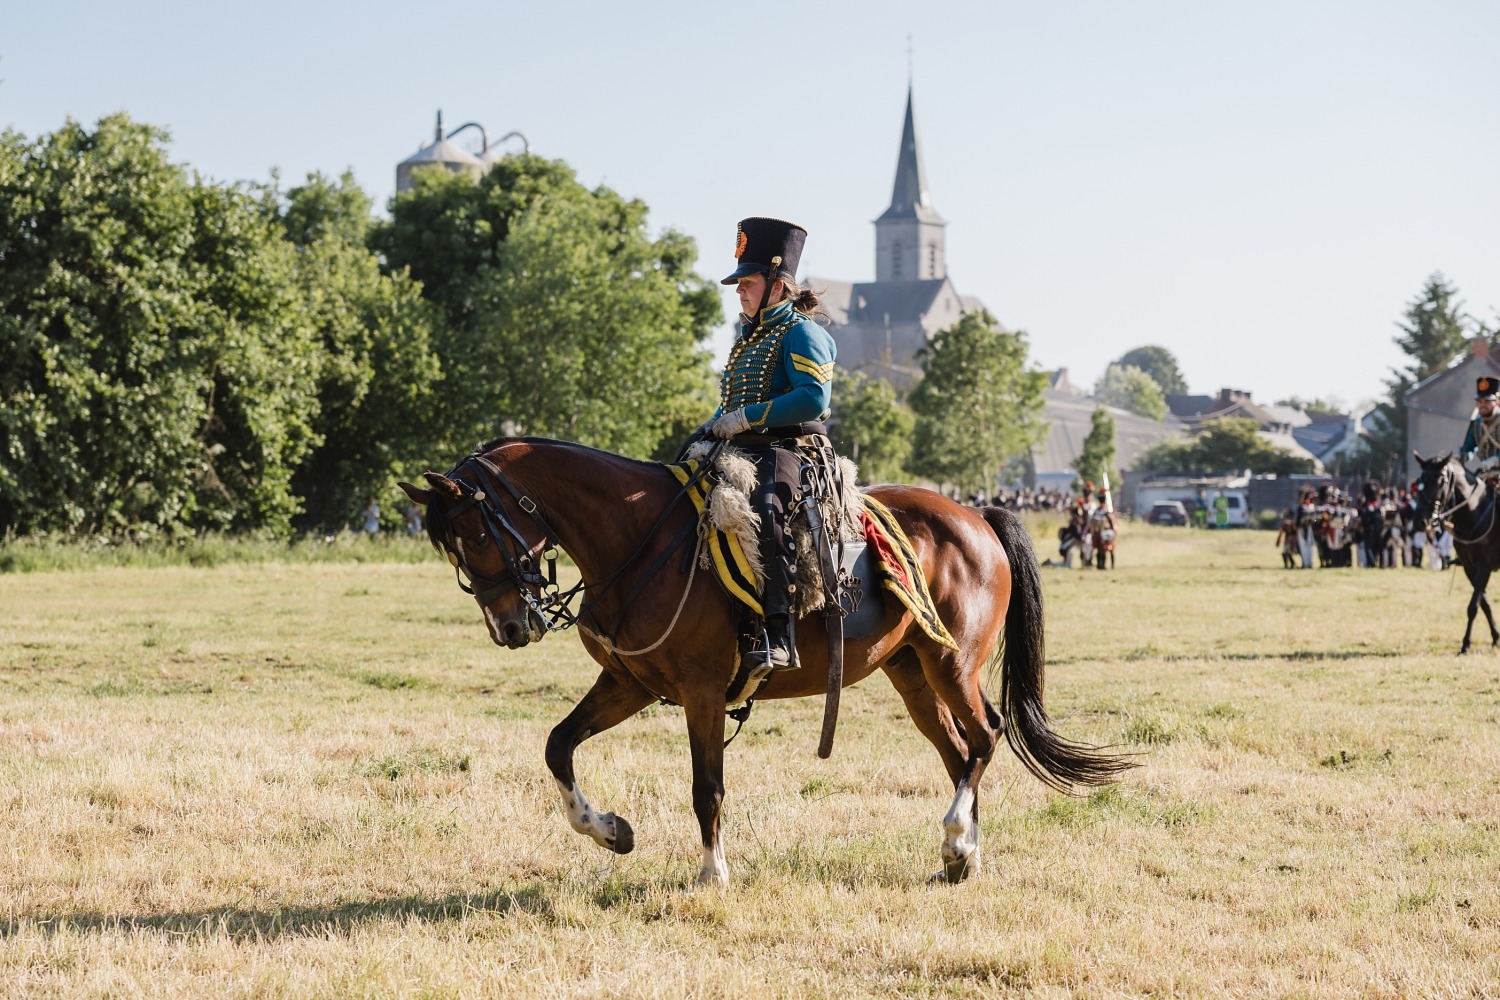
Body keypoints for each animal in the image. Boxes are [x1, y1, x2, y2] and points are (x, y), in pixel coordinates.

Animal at [402, 437, 1134, 881]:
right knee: (959, 753)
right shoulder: (628, 681)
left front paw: (712, 873)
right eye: (451, 546)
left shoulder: (699, 691)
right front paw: (609, 831)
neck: (639, 540)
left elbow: (707, 787)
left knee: (986, 735)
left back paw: (957, 839)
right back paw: (962, 859)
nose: (509, 625)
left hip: (953, 664)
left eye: (474, 533)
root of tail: (977, 514)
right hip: (911, 672)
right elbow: (558, 745)